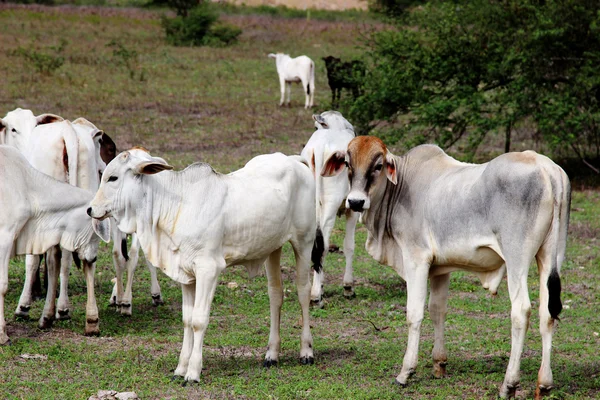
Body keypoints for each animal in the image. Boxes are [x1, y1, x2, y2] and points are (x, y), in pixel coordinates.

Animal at [88, 148, 324, 382]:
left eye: (113, 178)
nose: (90, 209)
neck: (176, 205)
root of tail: (292, 160)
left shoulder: (208, 269)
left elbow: (199, 320)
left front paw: (193, 372)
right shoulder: (185, 273)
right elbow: (187, 319)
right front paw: (180, 369)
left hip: (303, 243)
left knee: (303, 292)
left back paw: (306, 351)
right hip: (273, 248)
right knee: (275, 294)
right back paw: (271, 355)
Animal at [324, 136, 572, 398]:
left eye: (379, 166)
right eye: (348, 163)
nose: (355, 201)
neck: (401, 186)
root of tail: (547, 168)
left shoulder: (416, 259)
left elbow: (414, 314)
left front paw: (406, 372)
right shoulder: (440, 269)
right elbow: (437, 310)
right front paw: (439, 364)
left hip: (517, 260)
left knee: (521, 311)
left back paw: (509, 384)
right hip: (550, 257)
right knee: (547, 313)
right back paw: (544, 383)